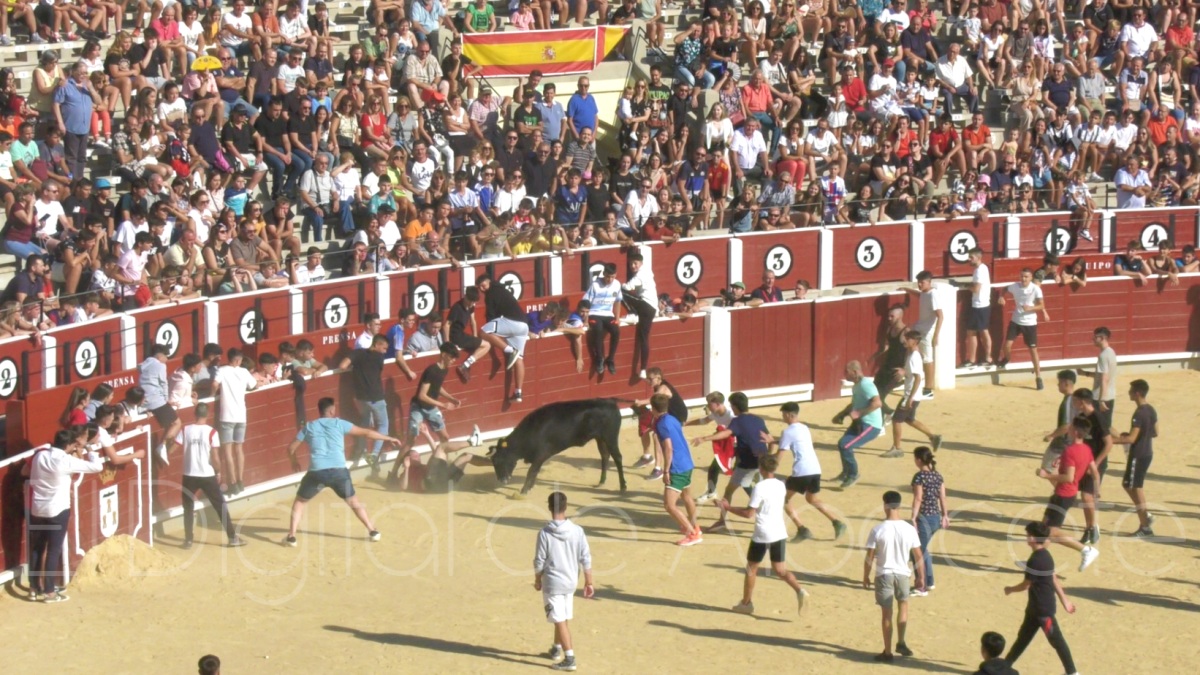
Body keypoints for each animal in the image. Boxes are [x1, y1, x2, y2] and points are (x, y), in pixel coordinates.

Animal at [487, 396, 628, 492]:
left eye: (499, 460)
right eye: (493, 461)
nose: (502, 480)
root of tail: (610, 401)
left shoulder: (541, 455)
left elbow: (532, 471)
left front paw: (524, 490)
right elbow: (534, 471)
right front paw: (530, 487)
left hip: (610, 437)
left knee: (617, 457)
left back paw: (623, 486)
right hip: (601, 438)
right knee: (605, 456)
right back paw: (601, 482)